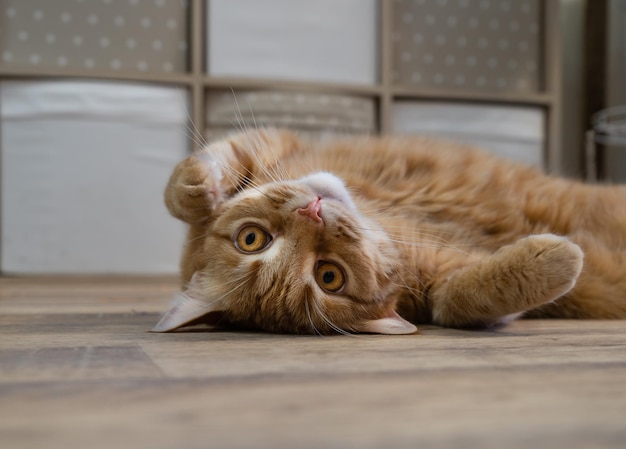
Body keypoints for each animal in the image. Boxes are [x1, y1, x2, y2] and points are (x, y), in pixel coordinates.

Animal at [152, 128, 624, 334]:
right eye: (329, 277)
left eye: (251, 239)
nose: (312, 212)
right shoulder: (437, 285)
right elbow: (457, 300)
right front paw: (560, 258)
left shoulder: (274, 143)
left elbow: (186, 178)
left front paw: (200, 193)